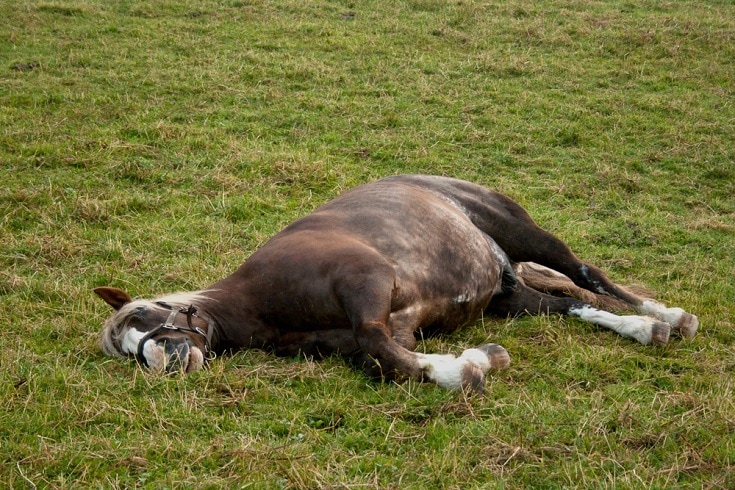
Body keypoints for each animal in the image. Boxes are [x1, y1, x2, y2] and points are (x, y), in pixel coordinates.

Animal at [95, 175, 700, 394]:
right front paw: (475, 360)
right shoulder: (391, 329)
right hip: (510, 296)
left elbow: (377, 343)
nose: (163, 361)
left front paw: (467, 369)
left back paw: (667, 316)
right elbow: (388, 359)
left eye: (147, 313)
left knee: (587, 274)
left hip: (526, 235)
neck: (261, 301)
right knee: (570, 303)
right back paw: (642, 327)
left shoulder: (367, 283)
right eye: (126, 351)